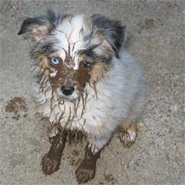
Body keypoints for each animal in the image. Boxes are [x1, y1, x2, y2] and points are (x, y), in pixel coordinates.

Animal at [18, 10, 146, 184]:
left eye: (86, 64)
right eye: (55, 60)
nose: (66, 90)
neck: (73, 103)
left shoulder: (101, 127)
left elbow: (91, 151)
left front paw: (86, 170)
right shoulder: (57, 115)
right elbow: (58, 141)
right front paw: (51, 160)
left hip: (134, 100)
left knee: (131, 119)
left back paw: (129, 134)